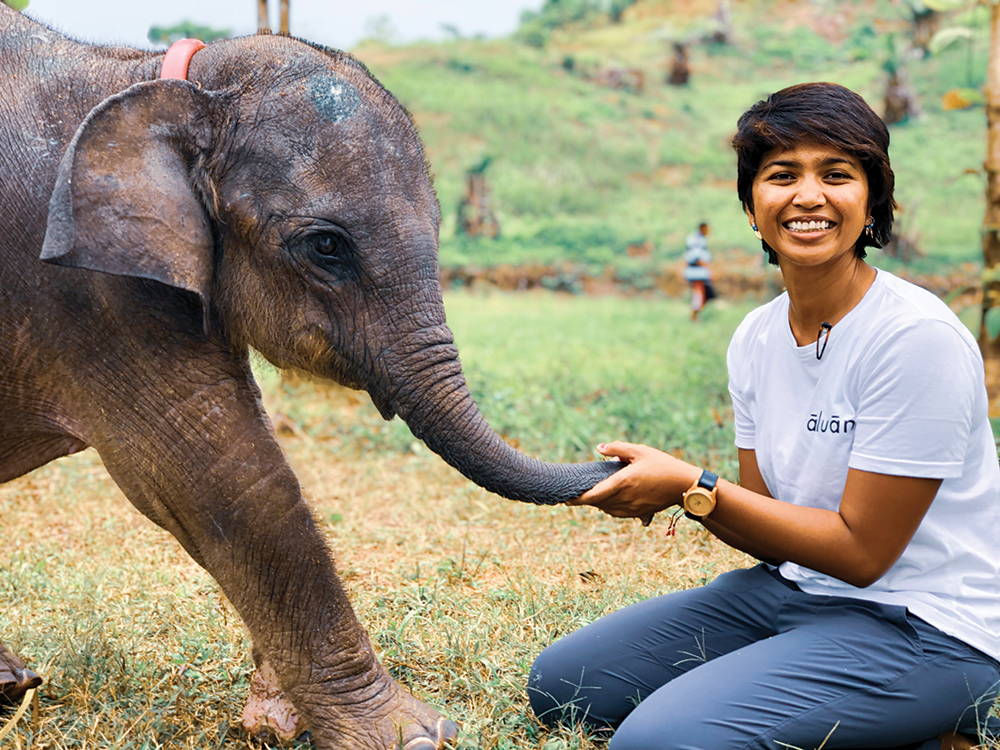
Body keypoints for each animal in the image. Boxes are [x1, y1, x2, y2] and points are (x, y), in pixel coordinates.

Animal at [0, 7, 616, 750]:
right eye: (327, 246)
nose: (616, 457)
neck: (155, 81)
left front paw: (277, 718)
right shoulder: (88, 291)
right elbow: (226, 479)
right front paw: (414, 736)